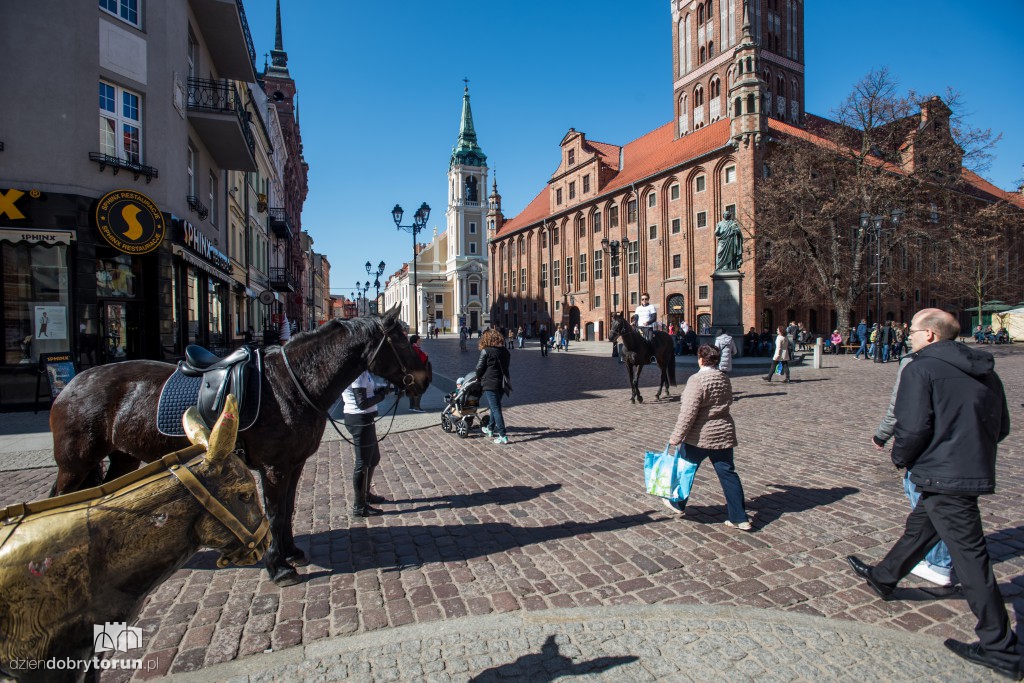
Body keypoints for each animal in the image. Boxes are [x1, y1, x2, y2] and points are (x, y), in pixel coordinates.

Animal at [48, 309, 428, 589]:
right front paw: (279, 567)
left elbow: (288, 510)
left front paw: (291, 552)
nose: (425, 378)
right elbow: (274, 513)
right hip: (75, 463)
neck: (292, 383)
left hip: (122, 458)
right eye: (399, 339)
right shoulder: (275, 466)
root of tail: (73, 381)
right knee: (59, 501)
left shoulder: (295, 463)